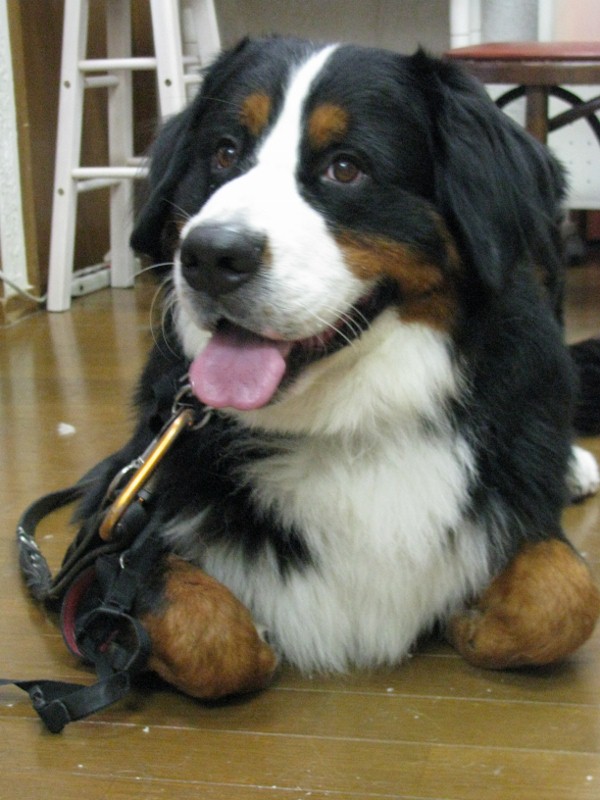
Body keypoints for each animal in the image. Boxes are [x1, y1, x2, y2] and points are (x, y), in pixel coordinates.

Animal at [77, 37, 600, 695]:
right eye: (224, 153)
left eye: (345, 168)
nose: (209, 254)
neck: (349, 423)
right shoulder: (112, 526)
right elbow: (208, 636)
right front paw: (257, 640)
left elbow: (565, 594)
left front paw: (473, 620)